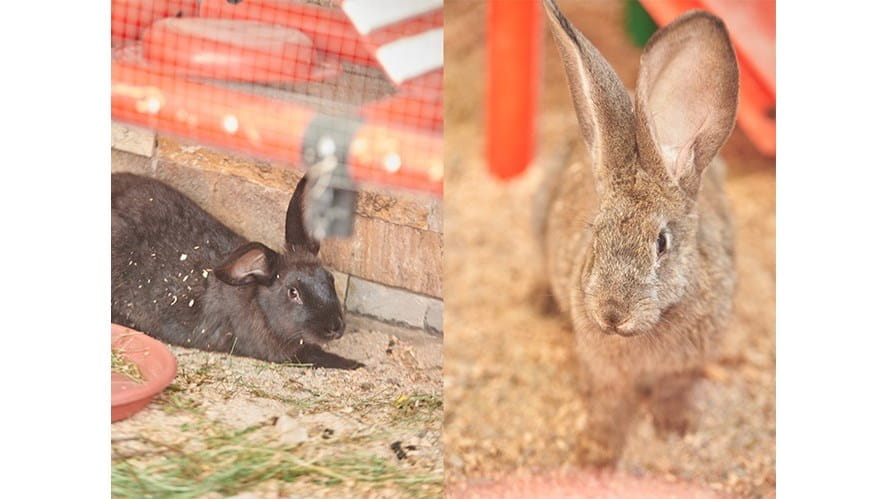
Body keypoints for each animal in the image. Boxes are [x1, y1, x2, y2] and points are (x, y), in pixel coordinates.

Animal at [538, 0, 739, 465]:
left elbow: (672, 389)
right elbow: (609, 405)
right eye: (596, 233)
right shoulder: (602, 370)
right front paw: (596, 455)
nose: (612, 314)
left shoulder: (684, 366)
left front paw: (676, 427)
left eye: (661, 243)